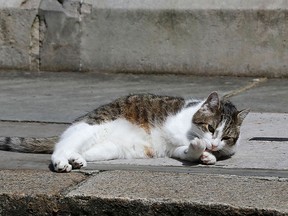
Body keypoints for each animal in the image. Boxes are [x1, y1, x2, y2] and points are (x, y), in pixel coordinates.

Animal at [0, 91, 248, 172]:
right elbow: (188, 141)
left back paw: (76, 159)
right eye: (211, 128)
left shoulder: (175, 150)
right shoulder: (175, 129)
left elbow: (186, 151)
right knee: (60, 147)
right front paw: (204, 148)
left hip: (110, 149)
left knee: (79, 150)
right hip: (92, 128)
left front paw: (208, 156)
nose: (215, 144)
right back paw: (62, 161)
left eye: (227, 137)